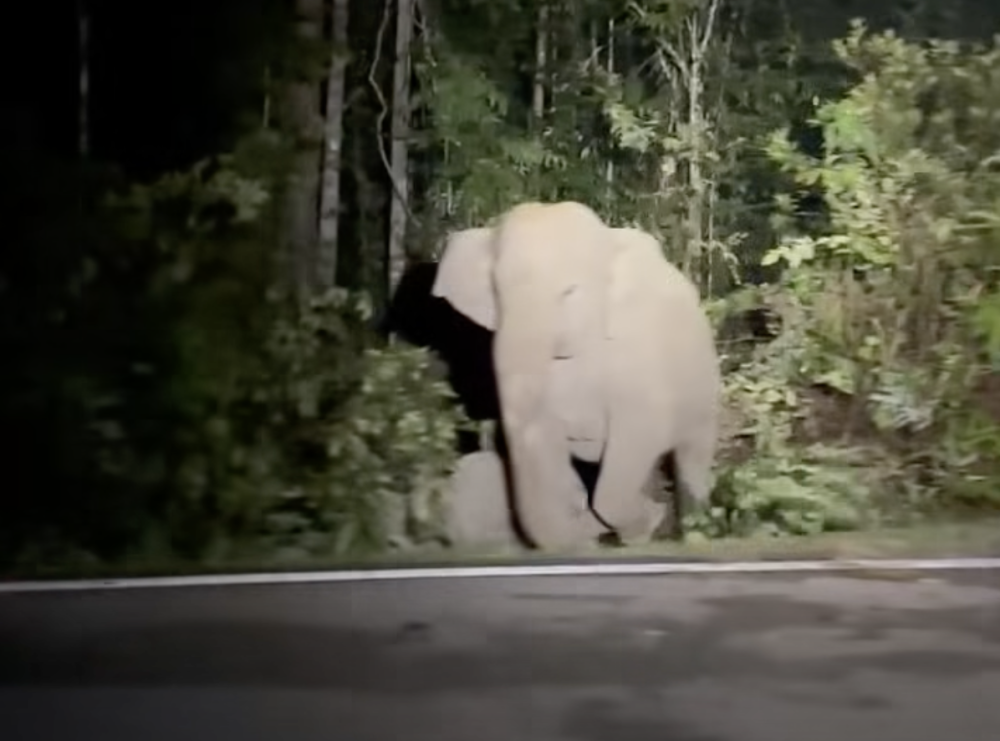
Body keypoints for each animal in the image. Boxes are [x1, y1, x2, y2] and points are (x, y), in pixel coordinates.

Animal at [431, 201, 722, 551]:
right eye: (496, 290)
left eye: (569, 291)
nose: (656, 512)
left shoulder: (640, 353)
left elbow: (639, 436)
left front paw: (646, 517)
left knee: (691, 457)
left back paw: (691, 526)